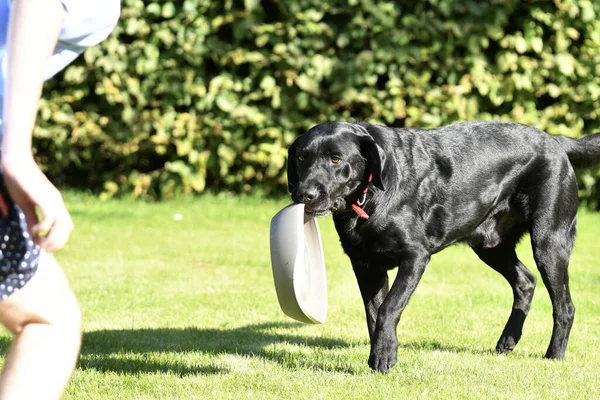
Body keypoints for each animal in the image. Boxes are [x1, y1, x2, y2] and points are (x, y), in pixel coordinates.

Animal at [284, 120, 600, 374]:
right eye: (301, 157)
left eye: (336, 159)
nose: (304, 194)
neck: (370, 196)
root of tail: (555, 141)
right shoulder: (365, 266)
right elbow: (373, 314)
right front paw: (379, 356)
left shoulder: (415, 257)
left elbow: (388, 308)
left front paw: (385, 359)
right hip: (490, 245)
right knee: (525, 281)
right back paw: (507, 341)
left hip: (549, 242)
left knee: (564, 306)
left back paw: (553, 356)